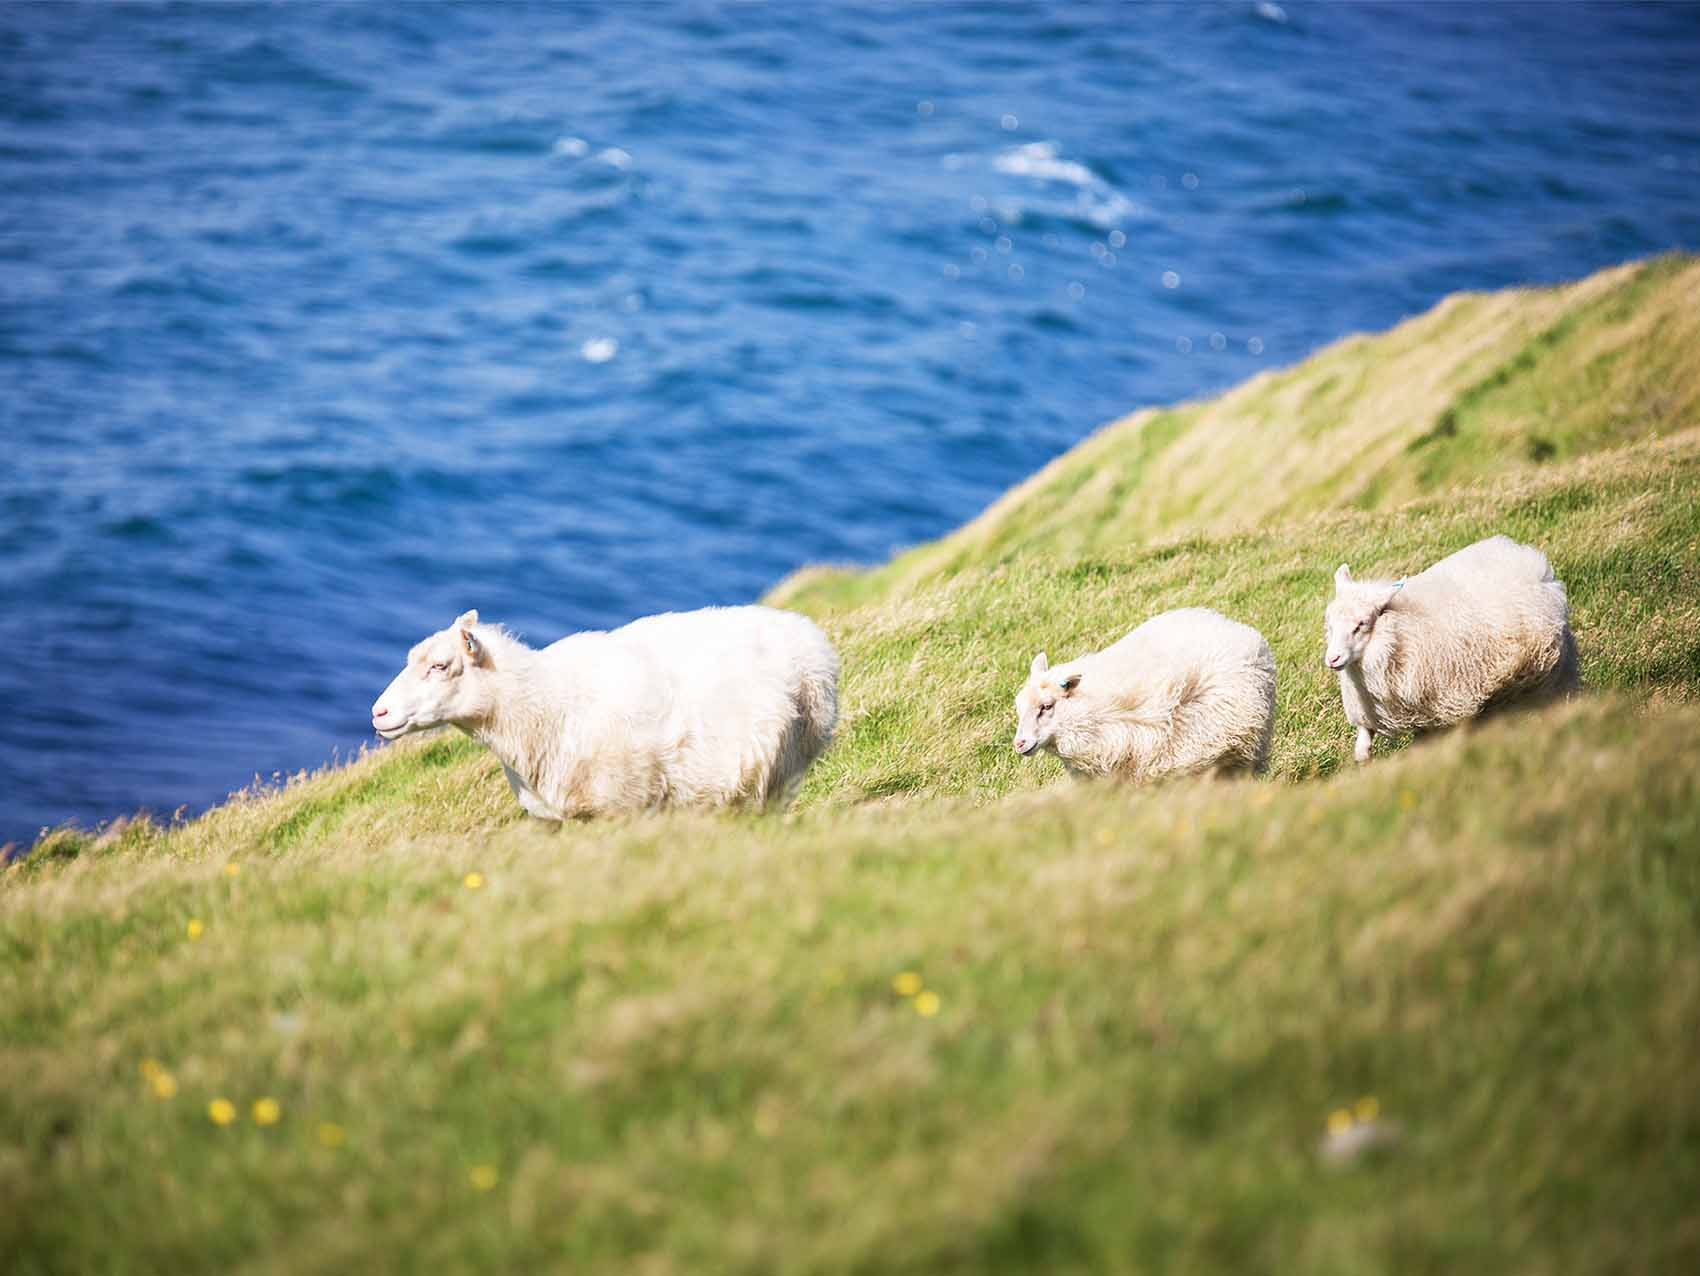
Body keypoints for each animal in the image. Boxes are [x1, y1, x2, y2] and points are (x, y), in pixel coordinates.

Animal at [1326, 533, 1577, 764]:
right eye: (1329, 624)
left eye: (1361, 624)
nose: (1332, 659)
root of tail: (1526, 555)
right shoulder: (1373, 710)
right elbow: (1363, 746)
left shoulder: (1450, 701)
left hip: (1551, 666)